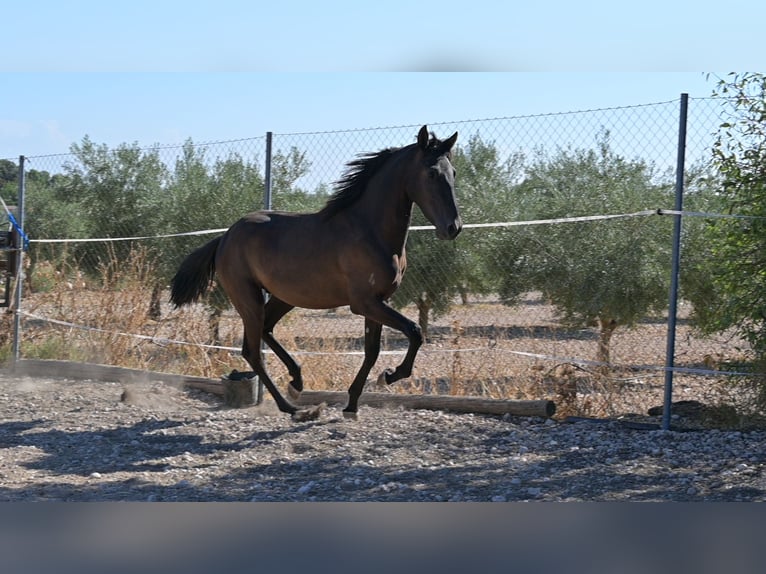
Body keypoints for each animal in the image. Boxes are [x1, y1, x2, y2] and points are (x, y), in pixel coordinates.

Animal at [172, 127, 462, 424]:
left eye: (453, 173)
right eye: (431, 173)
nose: (453, 227)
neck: (370, 230)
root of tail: (225, 237)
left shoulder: (378, 302)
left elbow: (372, 352)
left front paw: (352, 405)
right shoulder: (364, 303)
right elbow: (415, 332)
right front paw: (391, 375)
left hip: (284, 297)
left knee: (266, 331)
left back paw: (296, 383)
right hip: (247, 298)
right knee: (252, 352)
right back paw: (293, 407)